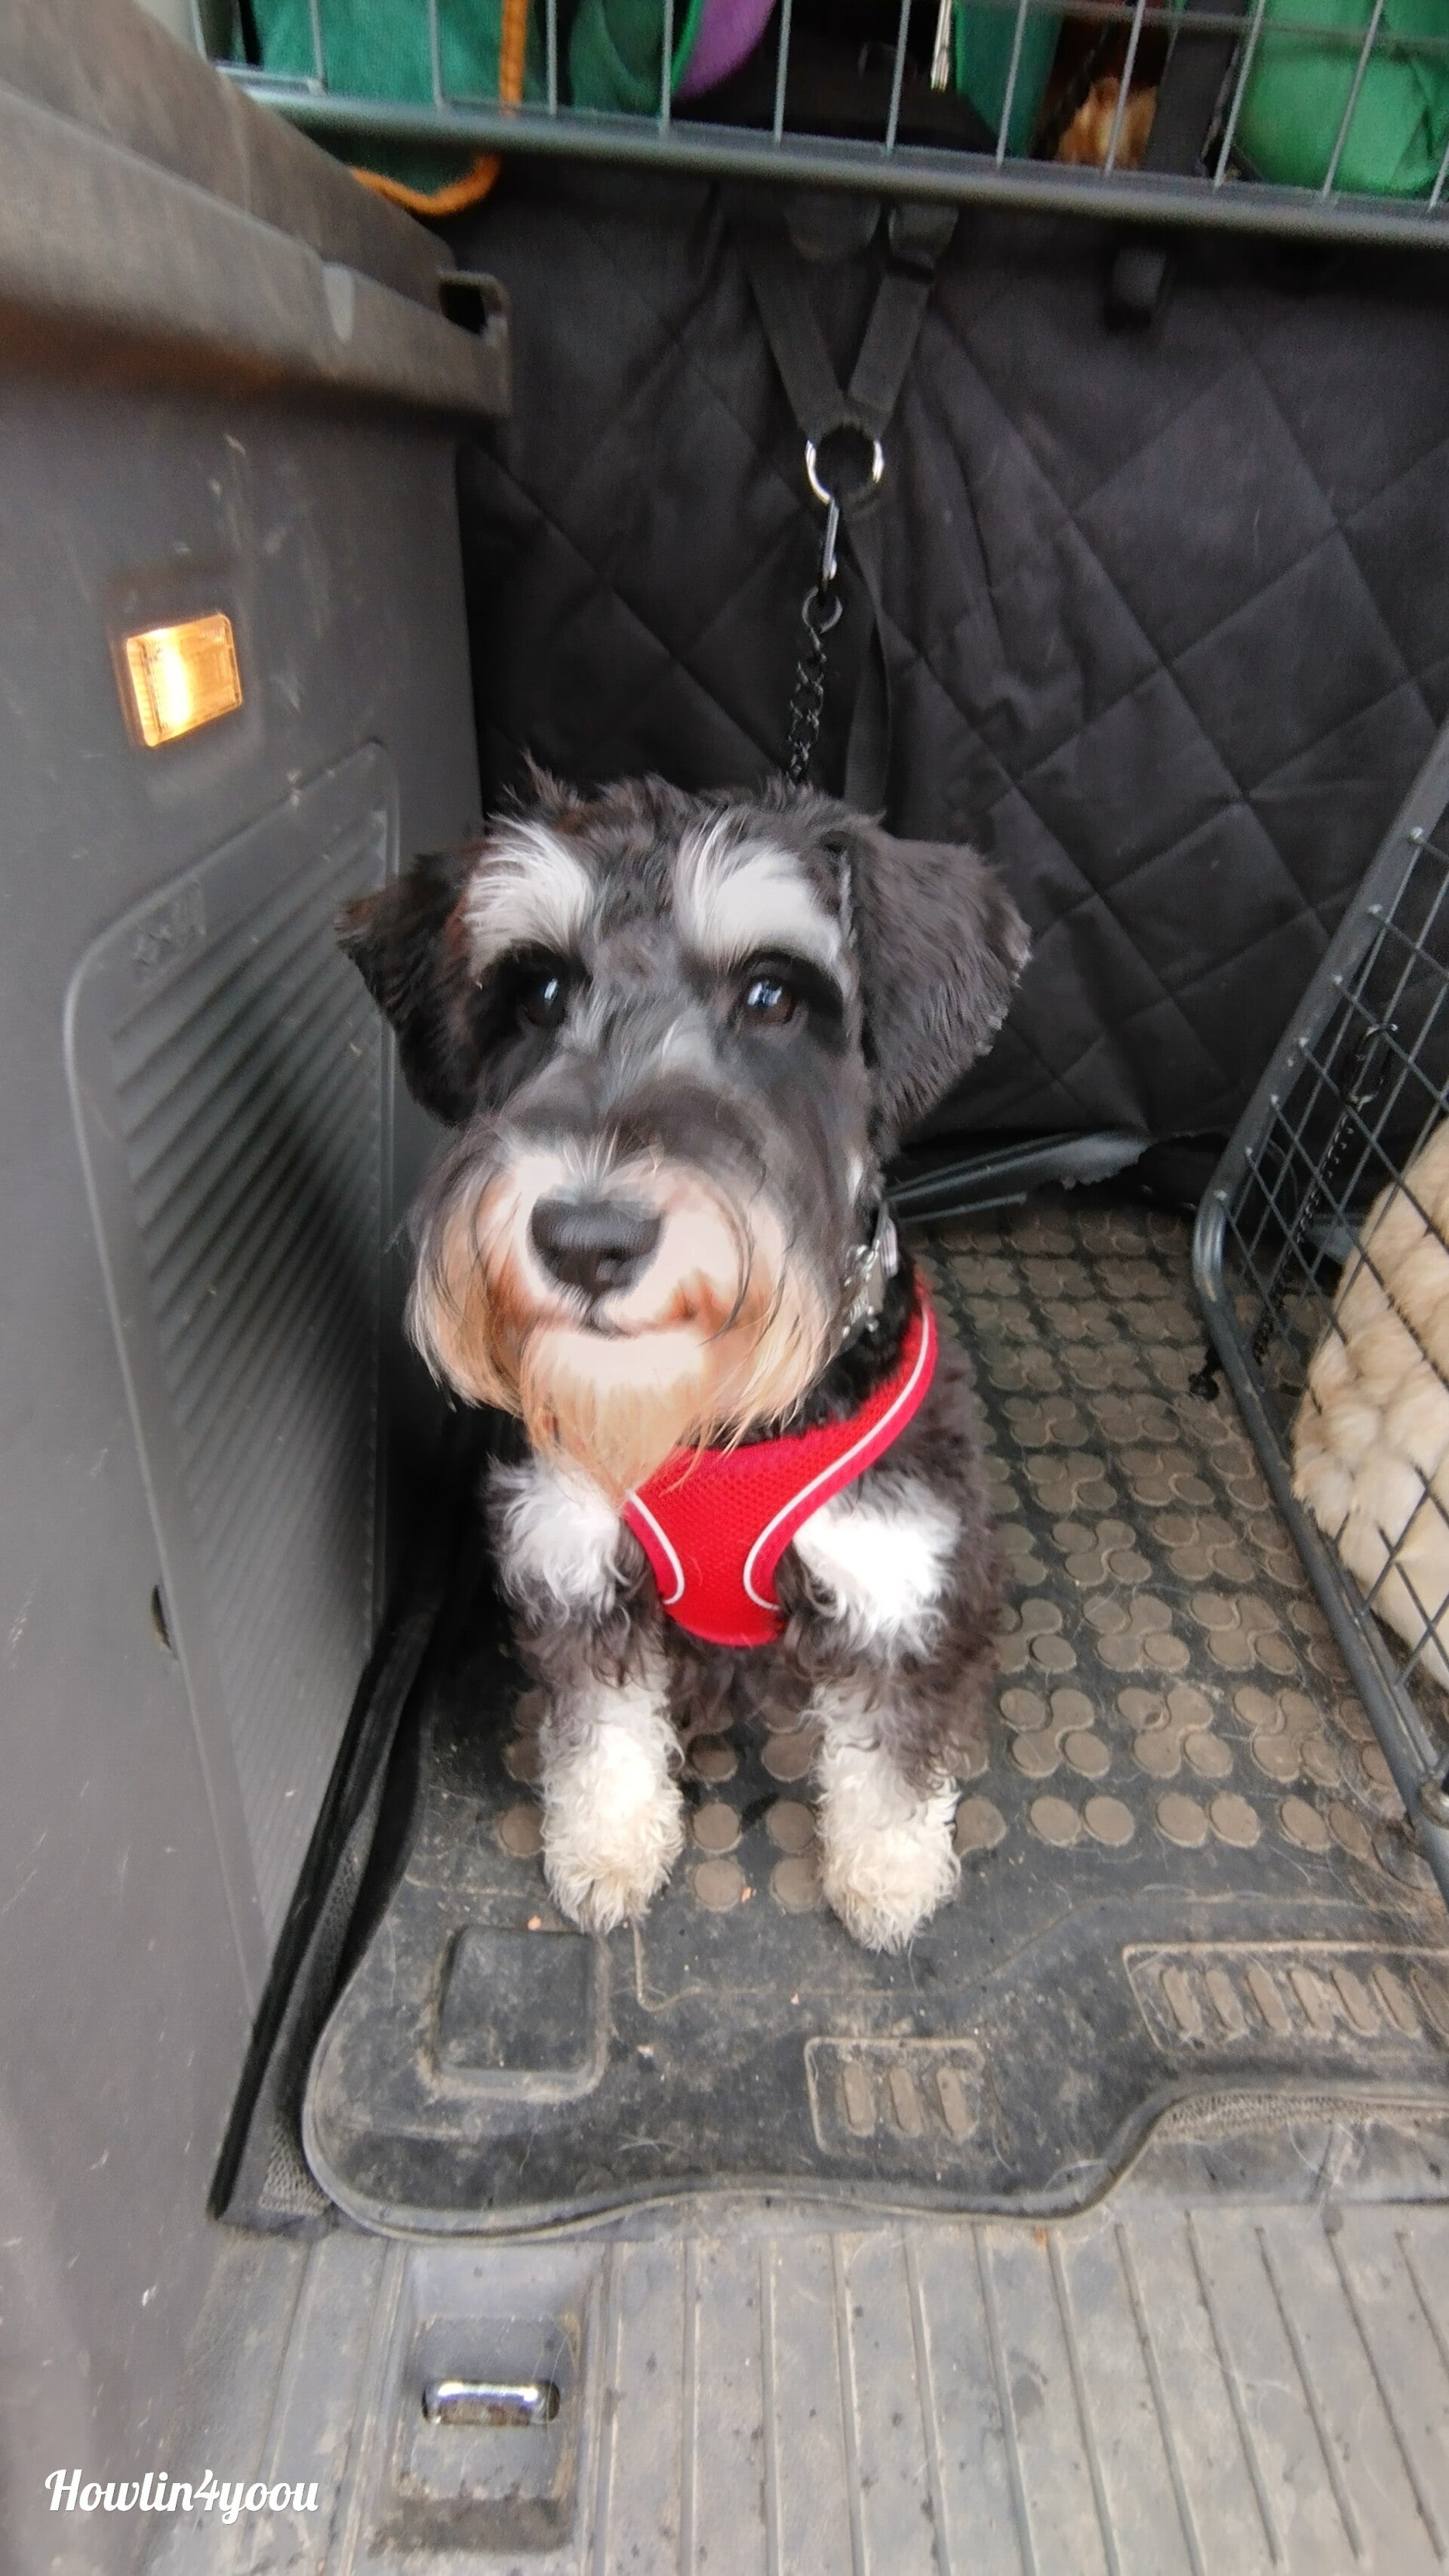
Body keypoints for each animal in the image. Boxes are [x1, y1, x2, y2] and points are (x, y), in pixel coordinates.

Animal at [340, 773, 1030, 1949]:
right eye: (538, 991)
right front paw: (607, 1847)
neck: (715, 1422)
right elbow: (603, 1729)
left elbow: (891, 1753)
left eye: (772, 995)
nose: (586, 1238)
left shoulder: (900, 1582)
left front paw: (888, 1873)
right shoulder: (573, 1560)